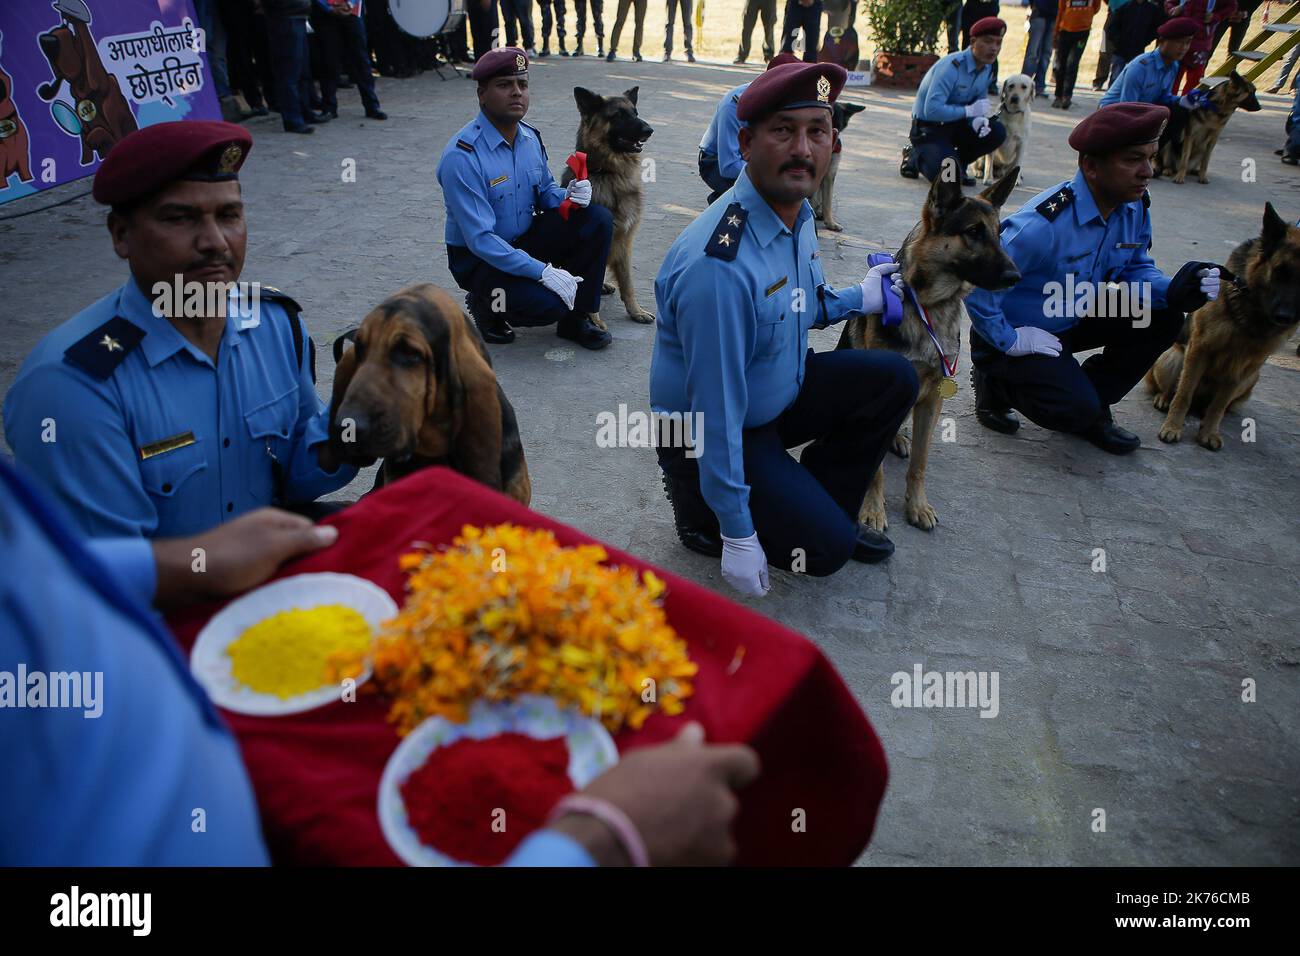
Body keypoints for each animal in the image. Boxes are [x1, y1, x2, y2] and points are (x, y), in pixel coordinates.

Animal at [564, 87, 655, 325]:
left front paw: (636, 311)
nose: (649, 130)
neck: (611, 173)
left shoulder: (625, 240)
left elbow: (628, 282)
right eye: (618, 116)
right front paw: (593, 319)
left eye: (635, 112)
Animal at [837, 170, 1019, 530]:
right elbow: (874, 470)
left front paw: (917, 505)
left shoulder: (933, 397)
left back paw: (898, 439)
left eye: (999, 234)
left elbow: (920, 463)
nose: (1015, 276)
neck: (928, 306)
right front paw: (872, 508)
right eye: (973, 232)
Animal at [1149, 201, 1300, 452]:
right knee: (1176, 390)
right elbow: (1184, 394)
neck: (1252, 314)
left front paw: (1209, 433)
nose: (1285, 317)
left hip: (1251, 378)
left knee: (1216, 405)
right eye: (1280, 270)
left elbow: (1219, 406)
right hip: (1173, 357)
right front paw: (1172, 428)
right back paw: (1164, 399)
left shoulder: (1243, 366)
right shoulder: (1199, 349)